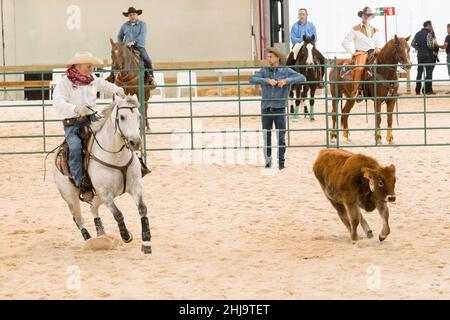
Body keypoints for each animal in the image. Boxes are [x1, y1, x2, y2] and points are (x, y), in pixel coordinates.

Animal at [53, 94, 153, 254]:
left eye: (138, 116)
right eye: (122, 117)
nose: (135, 142)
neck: (115, 156)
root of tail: (57, 154)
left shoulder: (136, 186)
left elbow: (143, 209)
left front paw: (146, 243)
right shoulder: (106, 193)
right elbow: (118, 214)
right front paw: (126, 236)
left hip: (97, 196)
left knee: (93, 208)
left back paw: (101, 235)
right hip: (71, 197)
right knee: (78, 219)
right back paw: (90, 241)